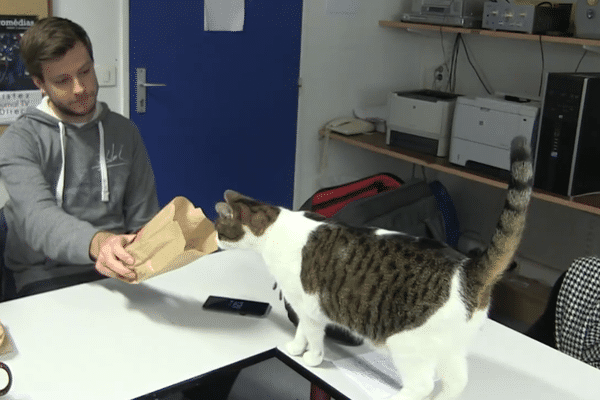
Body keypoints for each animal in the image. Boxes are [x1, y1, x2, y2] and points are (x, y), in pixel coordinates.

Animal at [213, 138, 532, 400]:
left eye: (219, 229)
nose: (214, 239)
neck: (275, 230)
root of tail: (469, 268)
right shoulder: (302, 307)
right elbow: (301, 331)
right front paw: (295, 348)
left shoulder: (310, 308)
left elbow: (313, 336)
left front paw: (312, 358)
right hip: (449, 347)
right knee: (457, 383)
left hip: (407, 343)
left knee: (422, 385)